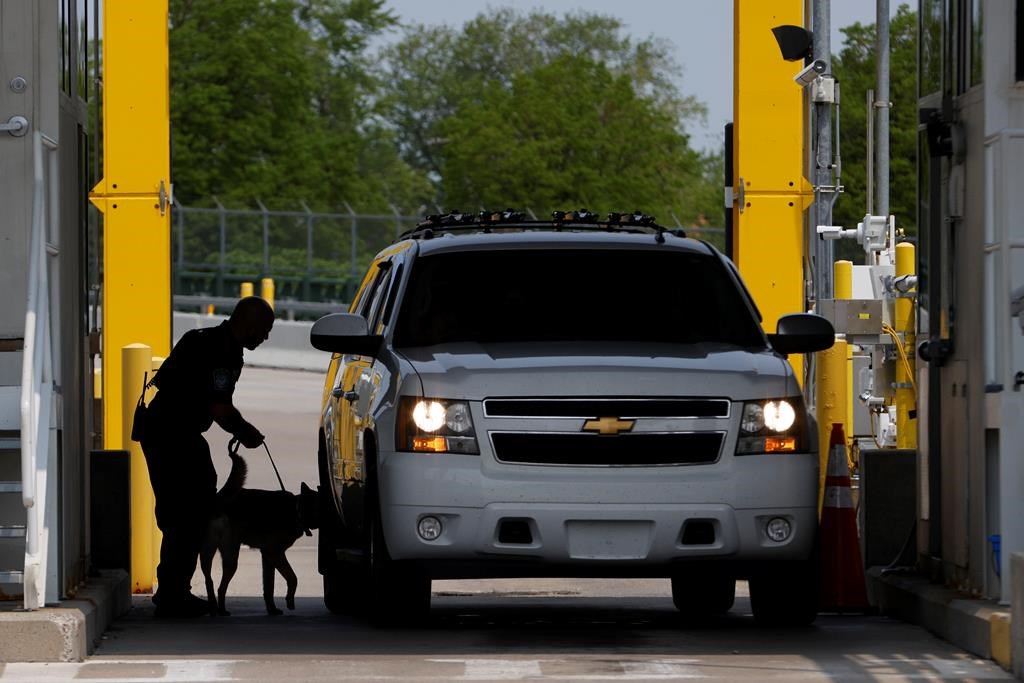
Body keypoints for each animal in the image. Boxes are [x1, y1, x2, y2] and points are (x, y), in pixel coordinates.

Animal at [196, 440, 315, 618]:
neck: (296, 509)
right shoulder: (274, 552)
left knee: (209, 580)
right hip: (231, 555)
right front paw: (289, 601)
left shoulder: (267, 556)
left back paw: (213, 608)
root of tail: (219, 500)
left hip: (208, 551)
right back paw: (221, 609)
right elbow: (293, 578)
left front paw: (272, 609)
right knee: (221, 587)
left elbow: (269, 586)